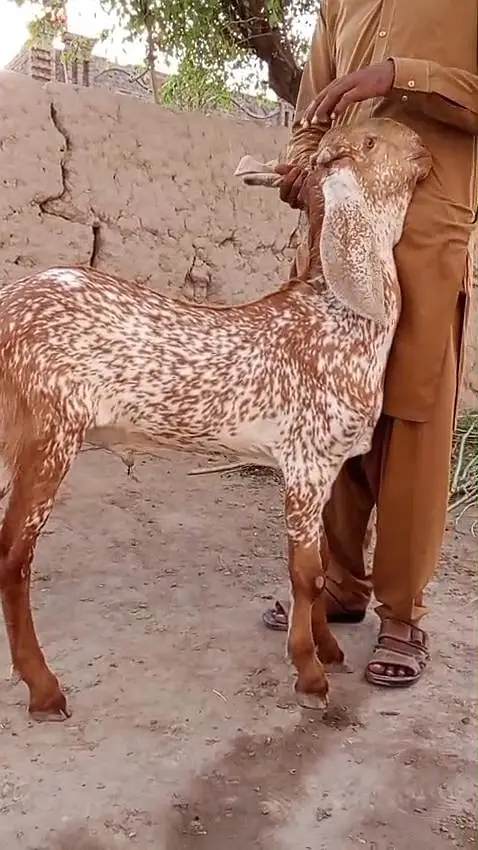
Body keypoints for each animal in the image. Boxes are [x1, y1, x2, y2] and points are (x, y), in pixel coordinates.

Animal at [0, 118, 431, 720]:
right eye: (370, 142)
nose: (424, 145)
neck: (339, 322)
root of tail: (7, 305)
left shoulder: (323, 469)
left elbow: (319, 567)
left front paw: (328, 649)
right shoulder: (304, 463)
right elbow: (307, 574)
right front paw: (310, 674)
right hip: (48, 434)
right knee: (14, 556)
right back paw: (44, 689)